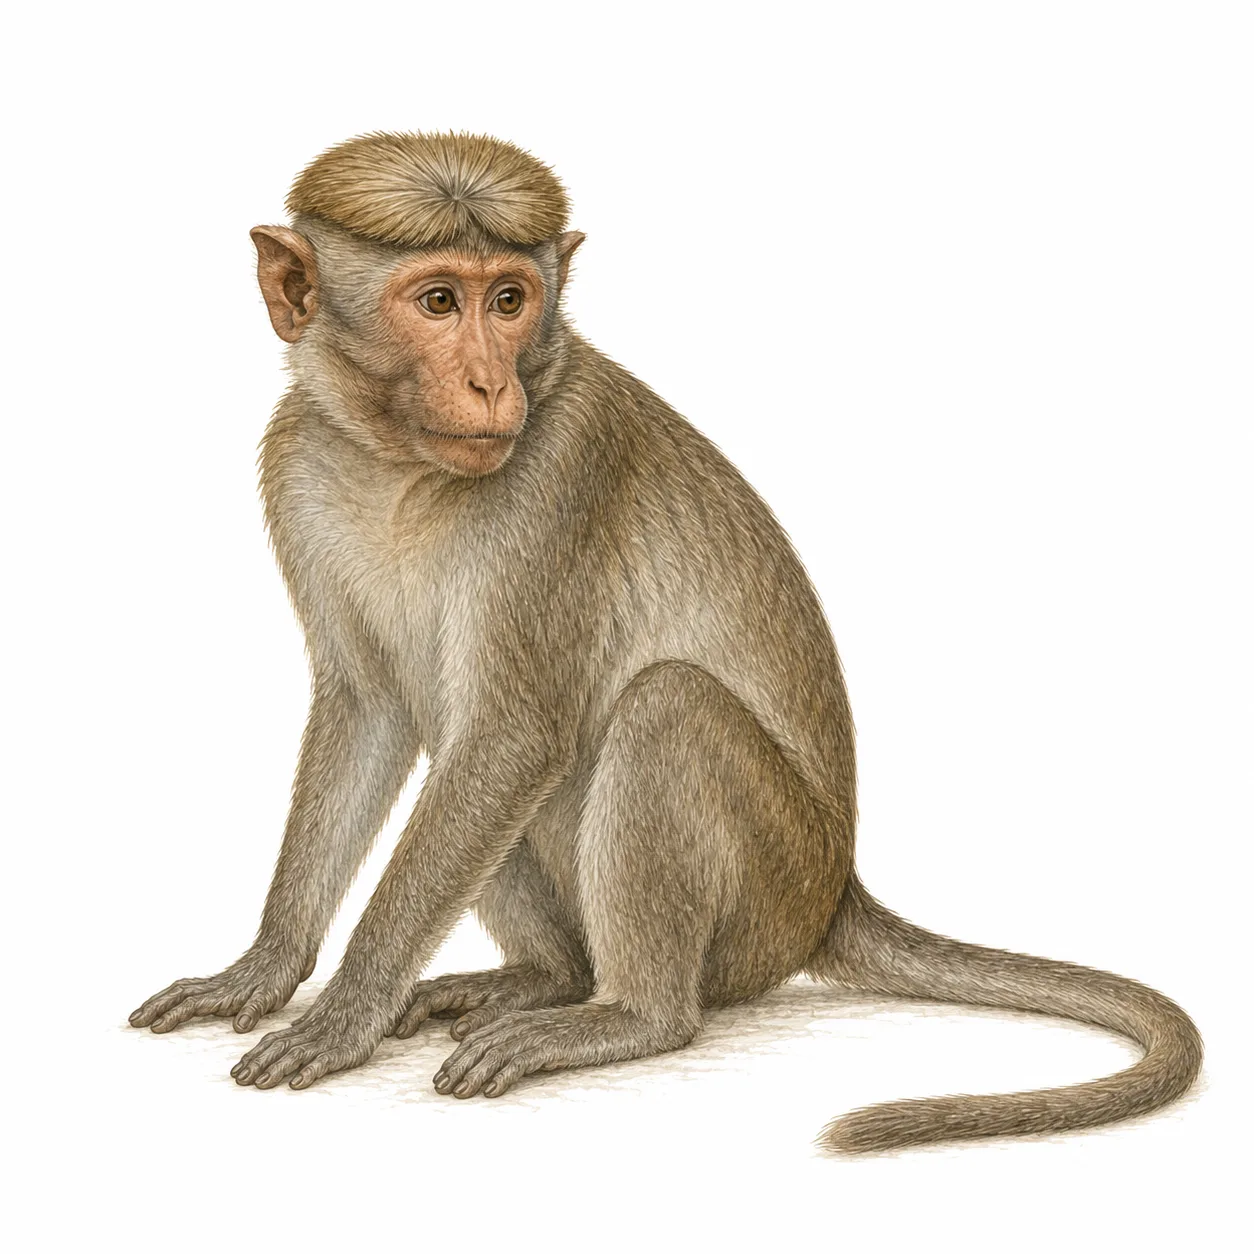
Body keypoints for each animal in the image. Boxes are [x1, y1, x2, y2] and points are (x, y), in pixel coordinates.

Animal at [129, 131, 1201, 1153]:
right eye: (437, 301)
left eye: (508, 300)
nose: (489, 384)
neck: (397, 465)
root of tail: (836, 893)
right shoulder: (295, 462)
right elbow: (372, 710)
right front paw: (265, 969)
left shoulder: (558, 473)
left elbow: (512, 738)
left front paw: (344, 1013)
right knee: (462, 736)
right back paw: (540, 976)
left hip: (769, 894)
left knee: (663, 709)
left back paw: (628, 1016)